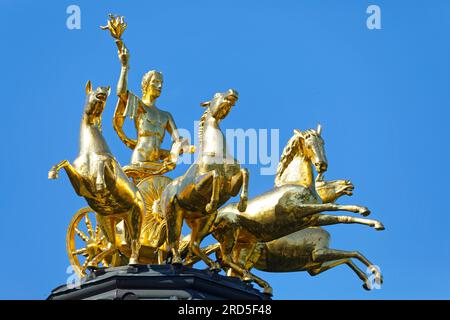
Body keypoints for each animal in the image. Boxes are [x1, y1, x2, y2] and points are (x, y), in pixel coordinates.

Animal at [47, 82, 143, 264]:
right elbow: (64, 162)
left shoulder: (110, 170)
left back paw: (133, 261)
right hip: (105, 218)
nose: (102, 93)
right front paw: (52, 172)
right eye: (92, 92)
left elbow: (102, 163)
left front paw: (99, 184)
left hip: (134, 216)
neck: (90, 149)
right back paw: (93, 262)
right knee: (113, 245)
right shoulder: (81, 186)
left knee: (135, 242)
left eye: (105, 96)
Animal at [159, 89, 250, 270]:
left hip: (204, 221)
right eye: (215, 96)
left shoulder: (232, 185)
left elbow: (245, 171)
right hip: (173, 214)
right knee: (172, 242)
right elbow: (216, 175)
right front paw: (211, 203)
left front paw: (243, 204)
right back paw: (177, 260)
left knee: (193, 245)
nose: (232, 92)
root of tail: (164, 192)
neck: (217, 151)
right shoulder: (198, 185)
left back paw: (213, 265)